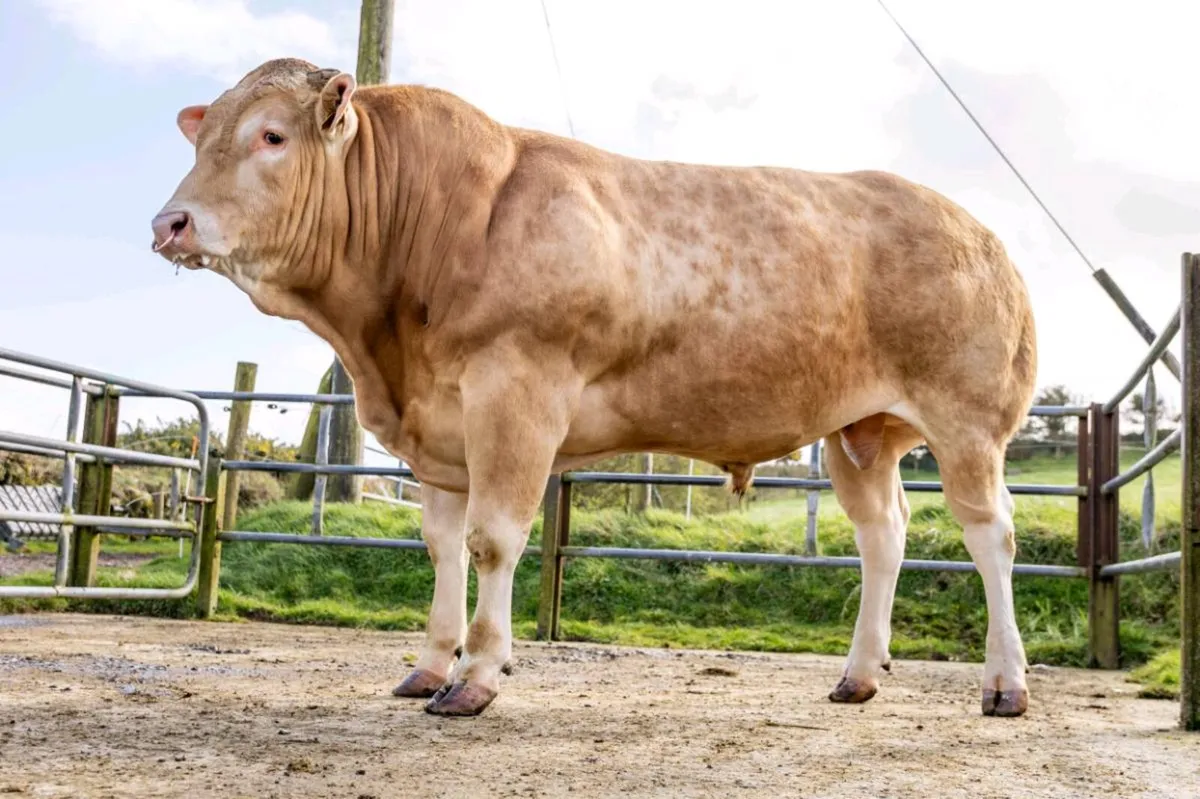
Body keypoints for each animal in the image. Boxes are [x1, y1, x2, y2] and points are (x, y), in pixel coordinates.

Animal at [151, 58, 1038, 719]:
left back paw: (1005, 683)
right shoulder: (438, 426)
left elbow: (493, 539)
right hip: (860, 431)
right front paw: (430, 665)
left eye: (270, 135)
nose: (170, 222)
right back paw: (858, 674)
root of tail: (982, 234)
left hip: (967, 421)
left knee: (991, 536)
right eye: (203, 142)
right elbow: (441, 545)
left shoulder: (515, 393)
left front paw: (476, 676)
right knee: (882, 536)